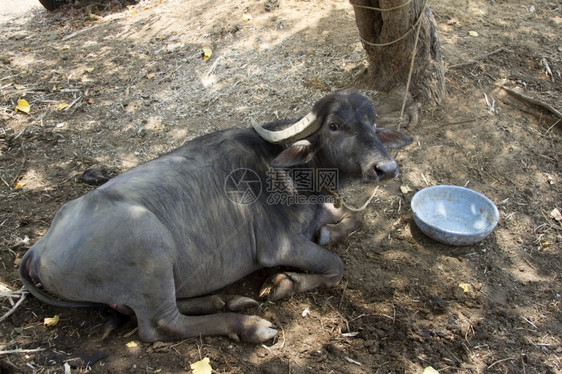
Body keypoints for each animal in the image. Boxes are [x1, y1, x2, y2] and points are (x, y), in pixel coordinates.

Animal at [19, 90, 412, 342]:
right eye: (334, 125)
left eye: (372, 122)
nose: (386, 168)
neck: (292, 172)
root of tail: (39, 248)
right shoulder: (280, 247)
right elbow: (334, 266)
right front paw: (284, 284)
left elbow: (352, 217)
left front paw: (328, 231)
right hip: (150, 251)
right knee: (160, 325)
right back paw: (250, 325)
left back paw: (226, 300)